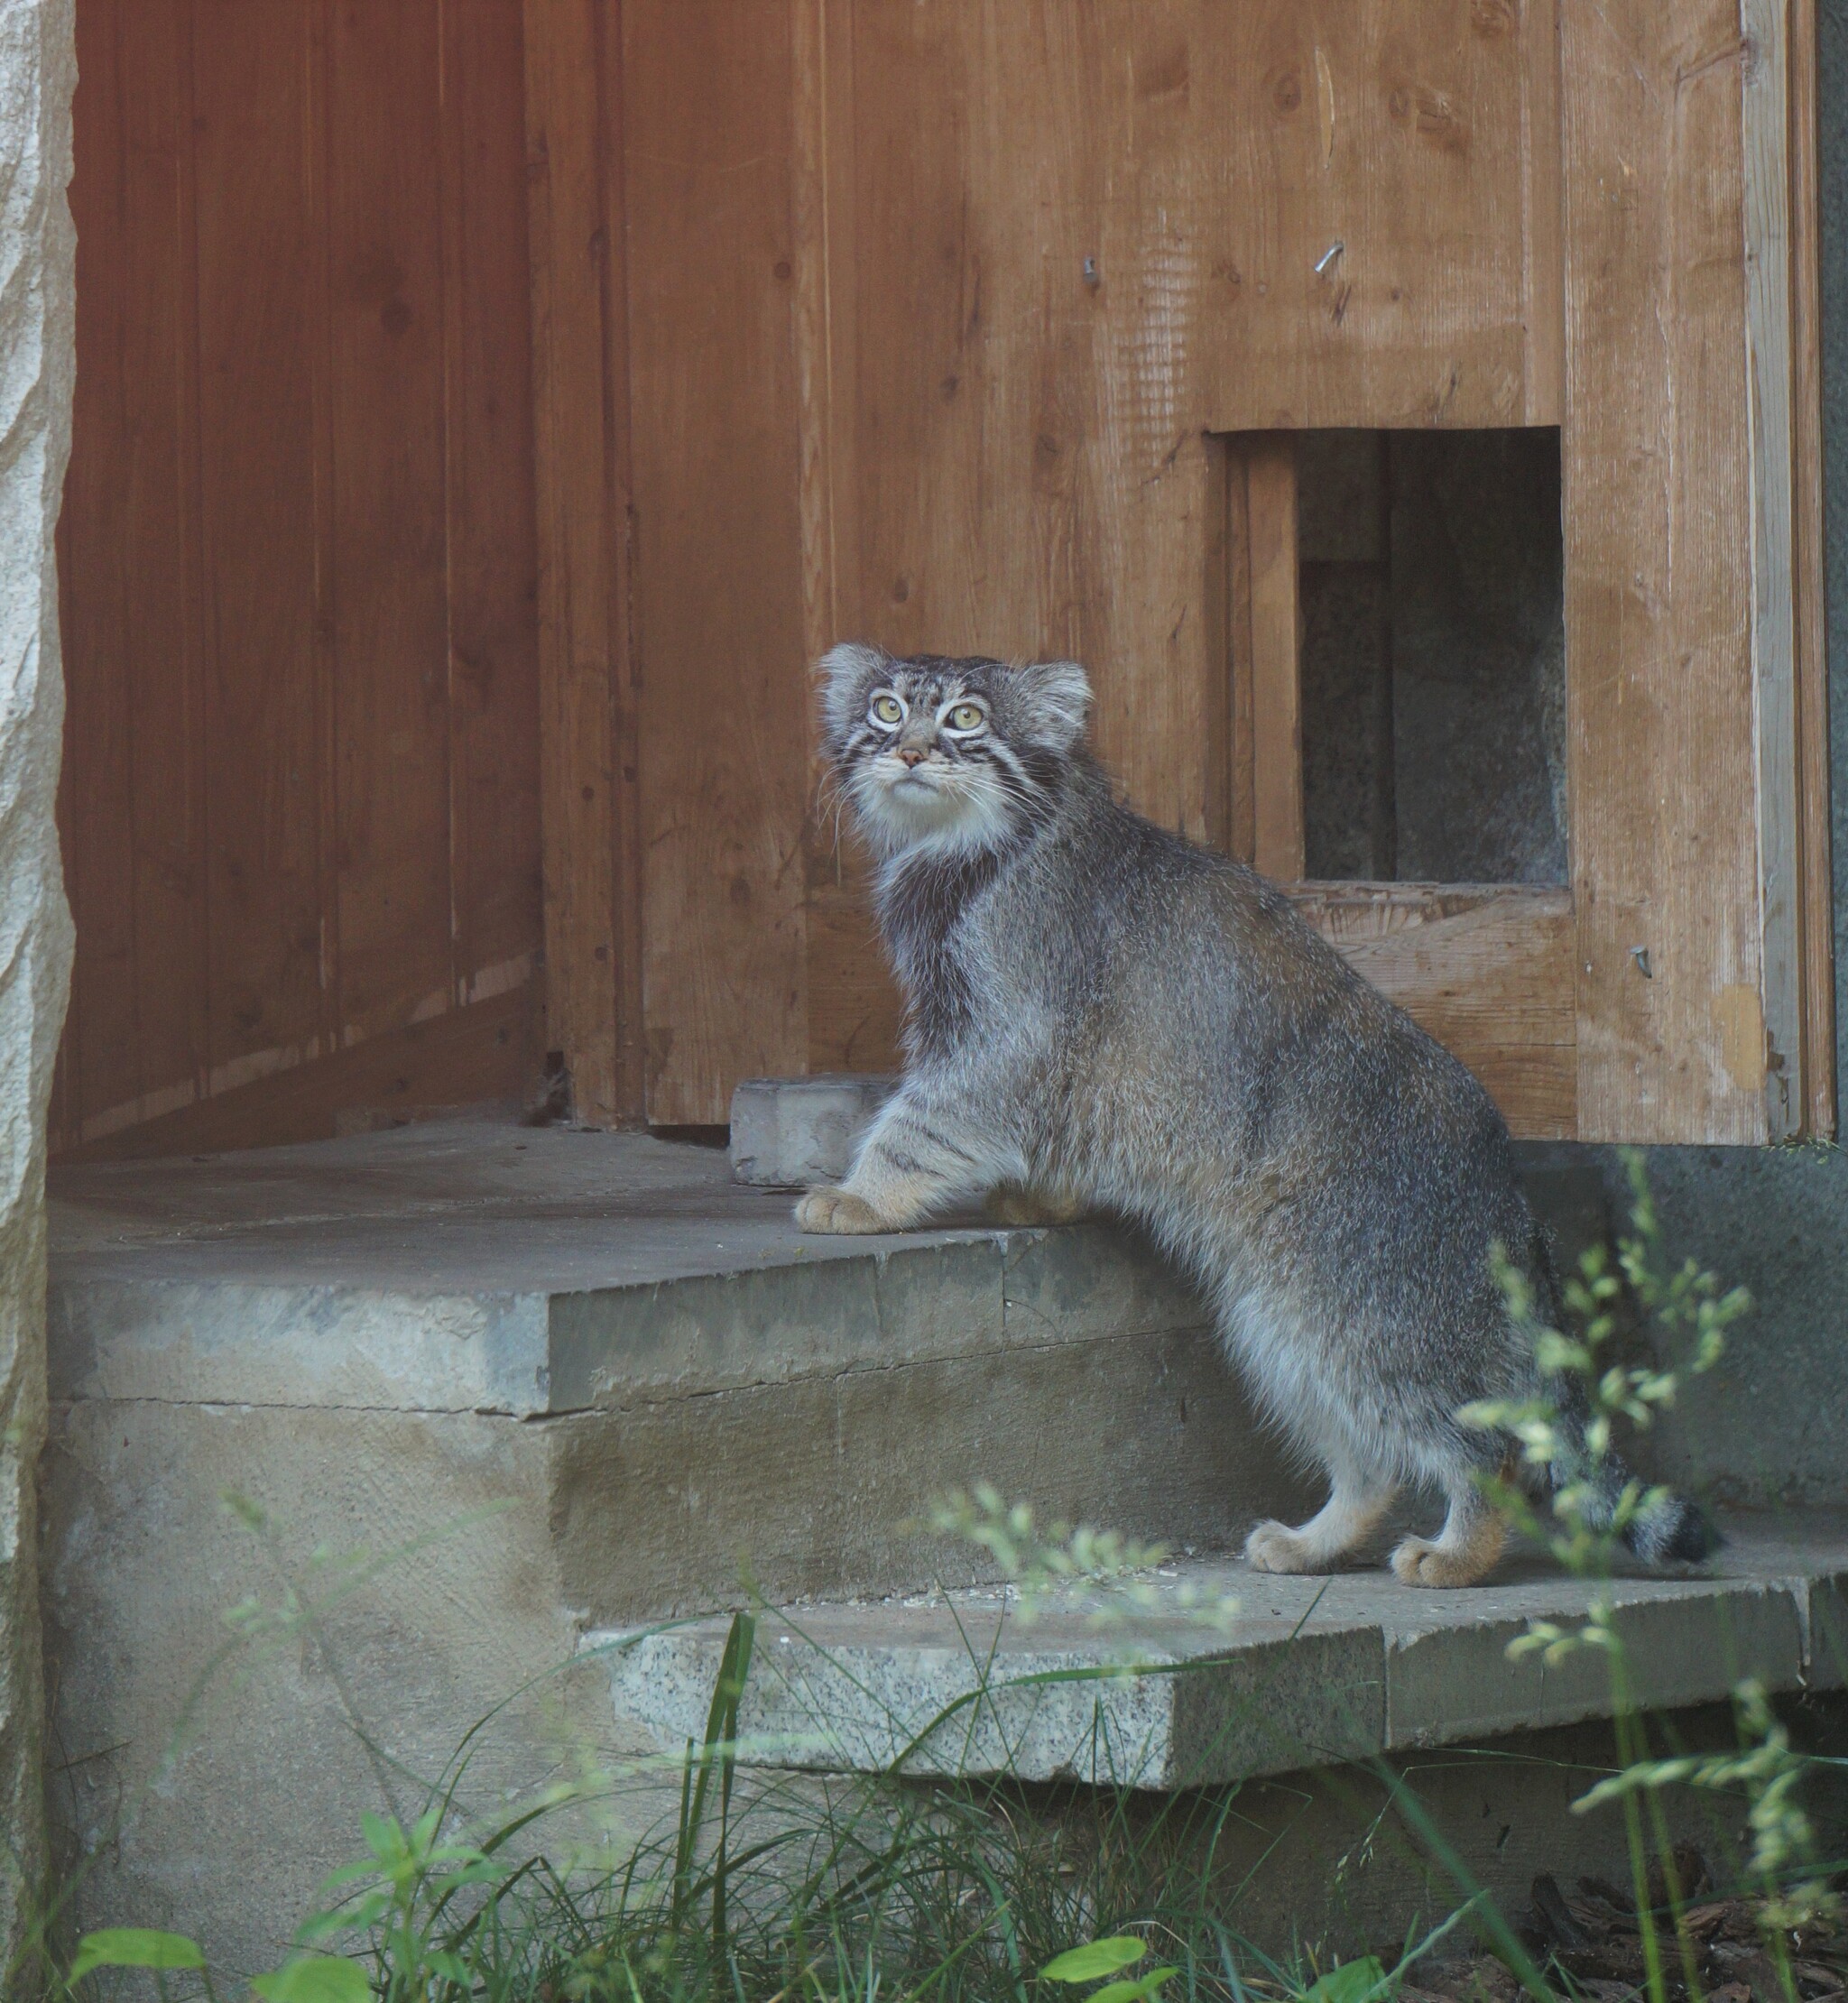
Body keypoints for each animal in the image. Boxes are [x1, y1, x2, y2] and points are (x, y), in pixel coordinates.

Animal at [800, 649, 1714, 1586]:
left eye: (966, 719)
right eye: (884, 708)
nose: (908, 750)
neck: (980, 844)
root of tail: (1506, 1188)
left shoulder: (1010, 1024)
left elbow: (926, 1119)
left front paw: (860, 1197)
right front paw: (1042, 1195)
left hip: (1358, 1303)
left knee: (1479, 1443)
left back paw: (1460, 1550)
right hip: (1282, 1317)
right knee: (1369, 1455)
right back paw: (1319, 1539)